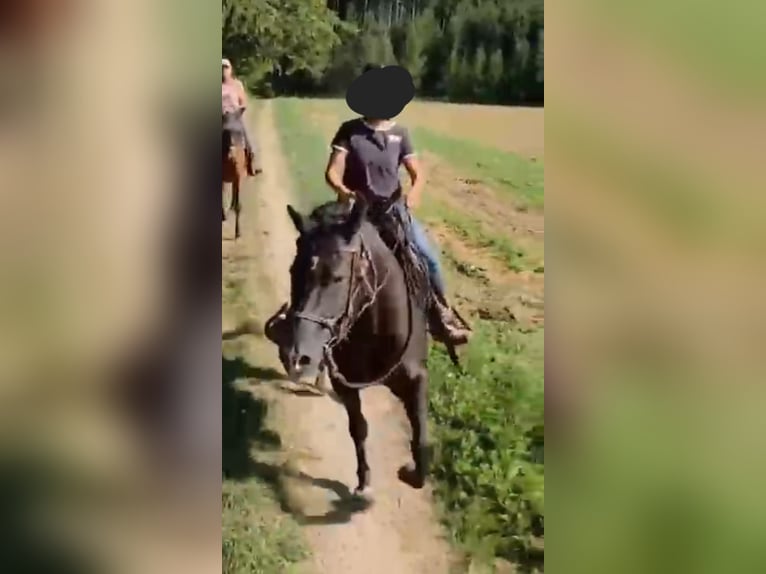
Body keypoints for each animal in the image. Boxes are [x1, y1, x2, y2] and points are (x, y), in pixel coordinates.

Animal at [284, 199, 431, 497]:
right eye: (293, 271)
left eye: (338, 277)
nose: (295, 357)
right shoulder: (345, 385)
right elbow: (358, 428)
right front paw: (364, 481)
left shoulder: (416, 378)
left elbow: (422, 440)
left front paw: (410, 473)